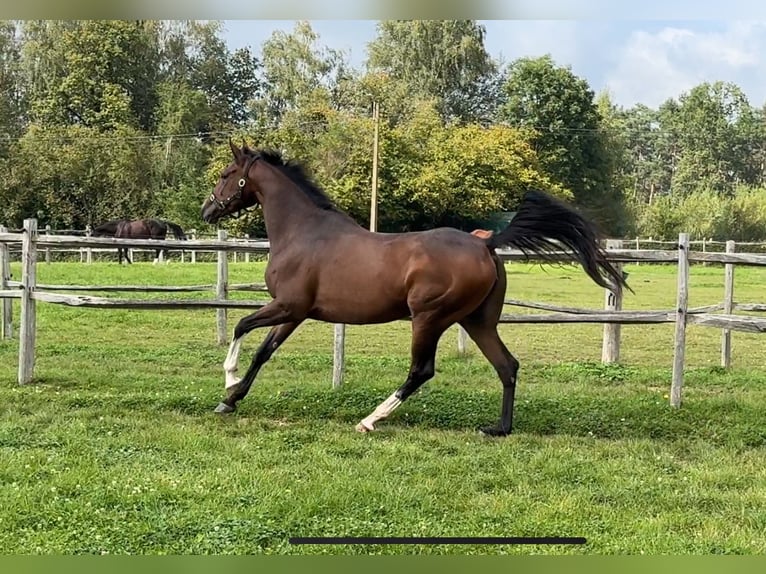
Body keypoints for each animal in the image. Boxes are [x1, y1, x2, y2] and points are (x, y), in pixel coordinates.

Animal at [200, 141, 632, 436]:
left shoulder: (288, 305)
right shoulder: (296, 312)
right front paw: (230, 399)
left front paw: (228, 382)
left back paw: (370, 419)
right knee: (507, 365)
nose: (207, 210)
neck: (303, 233)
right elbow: (263, 351)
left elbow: (240, 327)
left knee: (421, 370)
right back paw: (499, 428)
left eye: (225, 174)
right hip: (478, 321)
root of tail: (486, 244)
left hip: (429, 318)